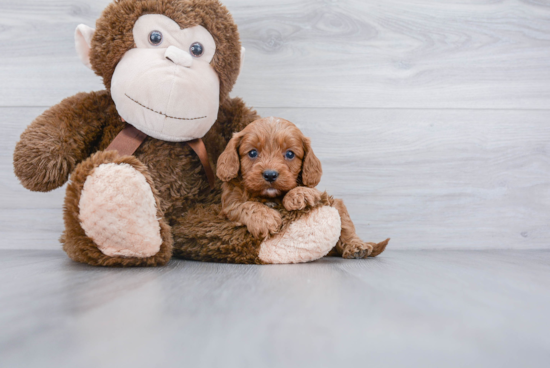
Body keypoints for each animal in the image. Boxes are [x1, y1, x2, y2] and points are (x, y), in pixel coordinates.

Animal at [218, 116, 390, 258]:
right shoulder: (228, 207)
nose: (270, 174)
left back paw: (357, 247)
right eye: (252, 153)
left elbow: (345, 223)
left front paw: (299, 194)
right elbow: (244, 205)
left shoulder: (325, 197)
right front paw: (264, 218)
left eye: (290, 154)